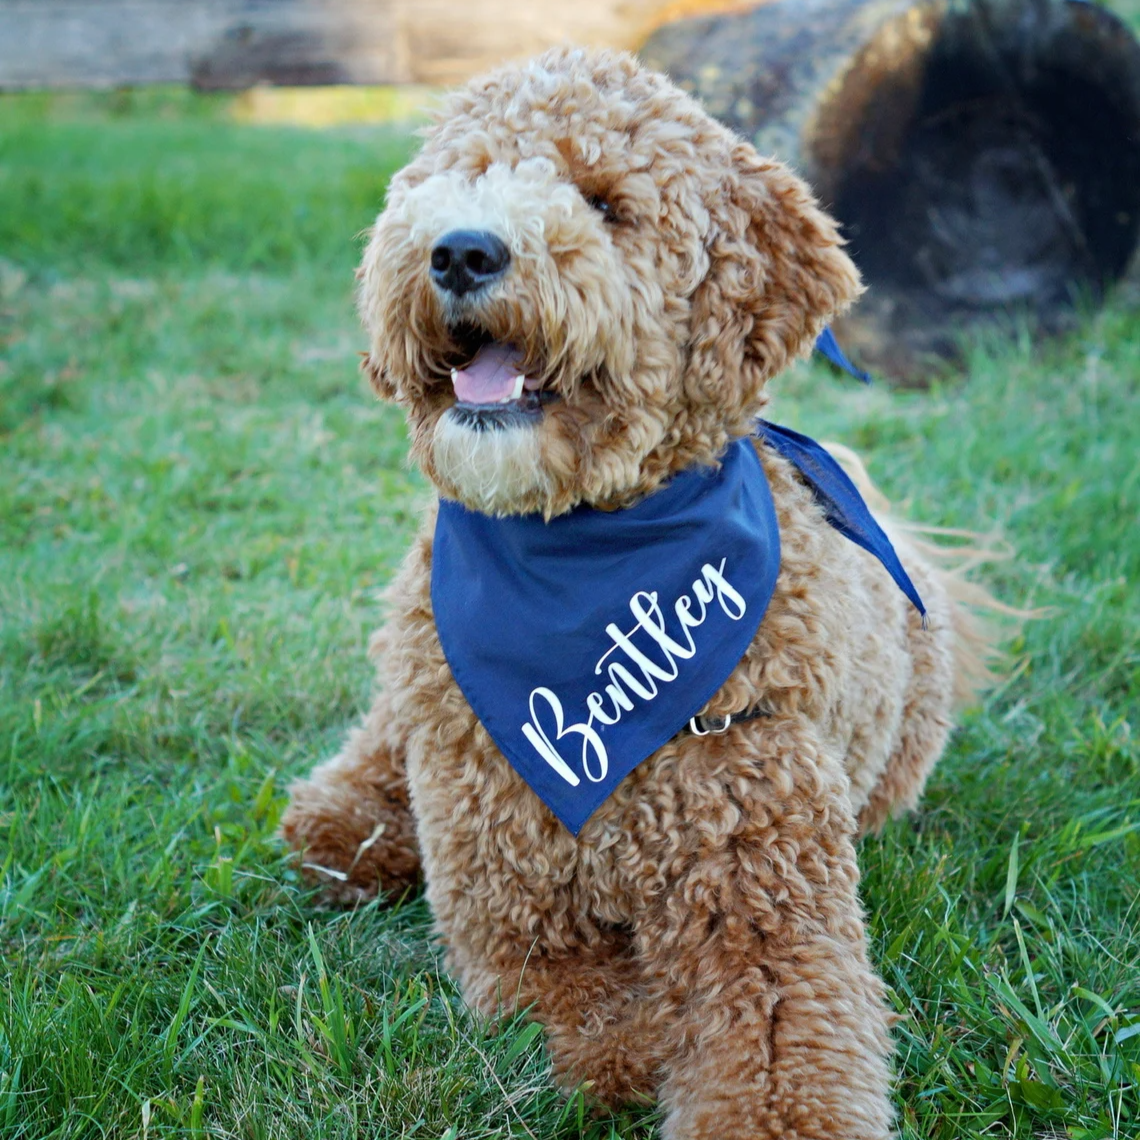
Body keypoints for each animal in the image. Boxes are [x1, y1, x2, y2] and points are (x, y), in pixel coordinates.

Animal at [280, 46, 994, 1140]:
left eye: (607, 204)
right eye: (466, 175)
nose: (461, 251)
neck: (581, 556)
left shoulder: (764, 910)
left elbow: (775, 1062)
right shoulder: (516, 917)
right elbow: (596, 1017)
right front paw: (640, 1045)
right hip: (417, 678)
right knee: (368, 764)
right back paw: (350, 824)